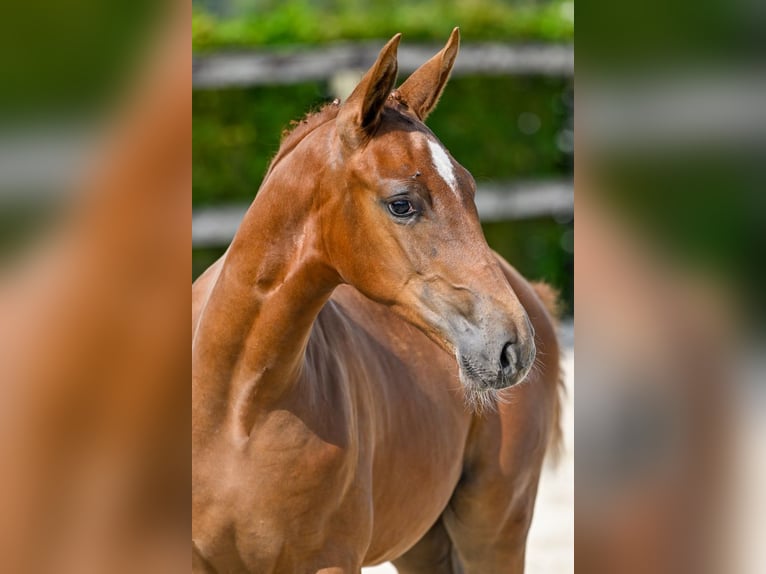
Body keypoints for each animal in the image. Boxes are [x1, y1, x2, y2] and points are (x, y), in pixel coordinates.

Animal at [192, 29, 564, 572]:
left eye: (471, 189)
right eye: (401, 203)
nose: (512, 346)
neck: (235, 409)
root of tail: (534, 296)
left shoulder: (329, 559)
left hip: (493, 531)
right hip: (422, 543)